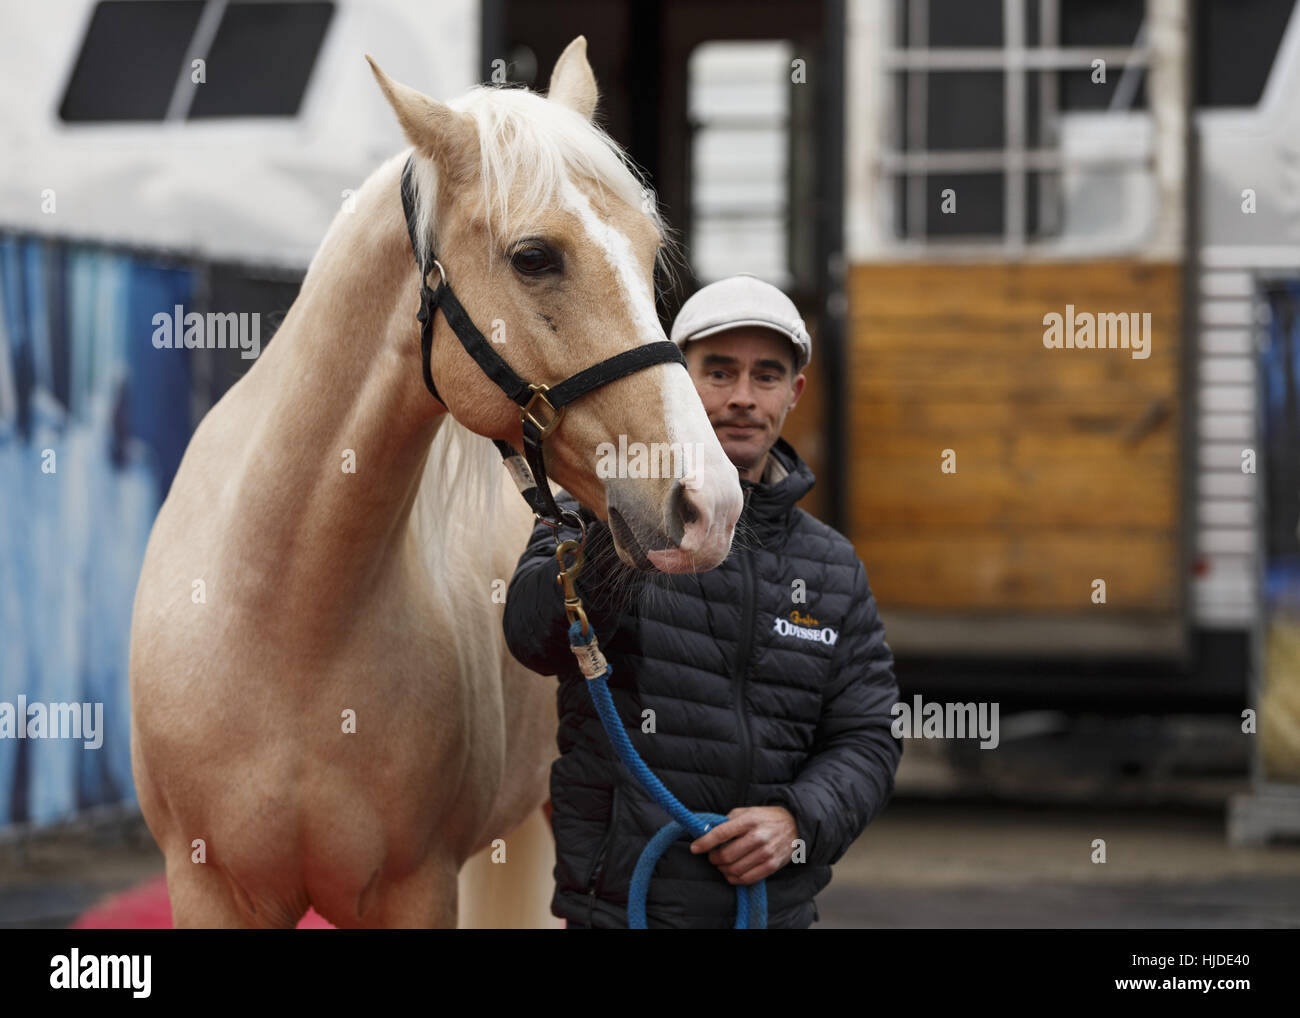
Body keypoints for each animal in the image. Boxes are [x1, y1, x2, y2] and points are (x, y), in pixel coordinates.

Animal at [131, 37, 748, 930]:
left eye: (644, 248)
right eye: (534, 257)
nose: (711, 504)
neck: (284, 619)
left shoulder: (418, 889)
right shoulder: (209, 887)